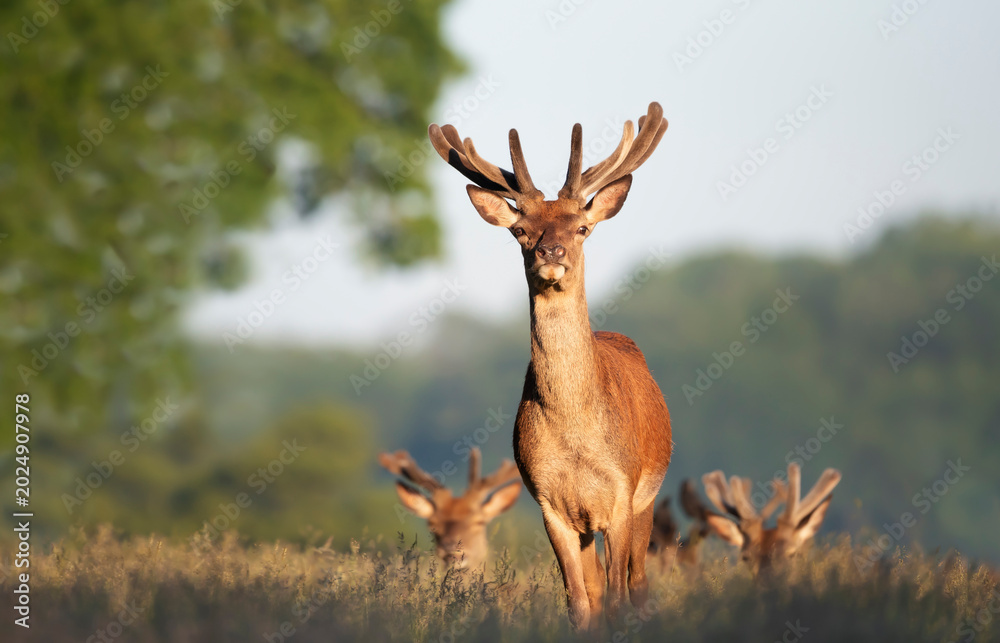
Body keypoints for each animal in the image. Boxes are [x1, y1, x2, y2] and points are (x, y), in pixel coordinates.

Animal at [429, 102, 672, 629]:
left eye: (581, 227)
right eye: (521, 230)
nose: (550, 251)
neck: (576, 433)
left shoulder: (621, 495)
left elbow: (618, 596)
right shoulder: (550, 504)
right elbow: (581, 602)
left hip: (649, 494)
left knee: (639, 584)